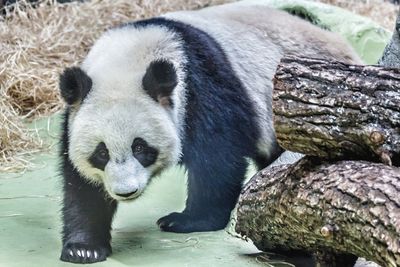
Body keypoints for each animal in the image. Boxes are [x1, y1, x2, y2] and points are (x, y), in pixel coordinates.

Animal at [57, 1, 360, 264]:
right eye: (101, 153)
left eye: (140, 147)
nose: (125, 191)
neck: (131, 56)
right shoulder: (75, 115)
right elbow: (81, 185)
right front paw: (83, 249)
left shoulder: (201, 86)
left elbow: (217, 157)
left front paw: (186, 220)